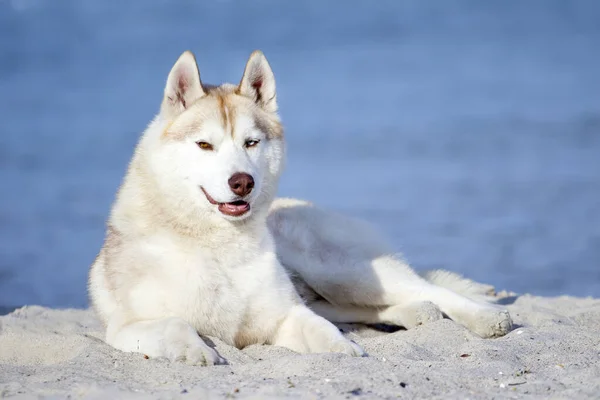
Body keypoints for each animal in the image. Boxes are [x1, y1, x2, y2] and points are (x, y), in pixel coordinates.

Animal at [88, 50, 510, 366]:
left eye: (251, 142)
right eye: (204, 145)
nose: (242, 182)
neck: (219, 249)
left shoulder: (284, 315)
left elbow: (322, 331)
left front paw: (346, 352)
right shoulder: (127, 327)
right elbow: (176, 325)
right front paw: (198, 353)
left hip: (337, 270)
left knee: (422, 288)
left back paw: (485, 317)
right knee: (362, 308)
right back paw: (418, 312)